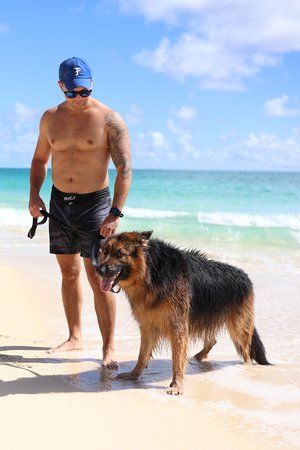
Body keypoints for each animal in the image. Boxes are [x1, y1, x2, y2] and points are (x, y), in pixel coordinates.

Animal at [93, 232, 270, 394]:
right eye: (105, 252)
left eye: (120, 254)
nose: (98, 270)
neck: (152, 272)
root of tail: (246, 277)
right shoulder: (148, 325)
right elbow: (142, 355)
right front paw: (134, 374)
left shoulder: (177, 327)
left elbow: (177, 360)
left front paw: (177, 385)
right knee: (212, 340)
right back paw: (199, 357)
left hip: (238, 327)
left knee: (246, 352)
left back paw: (246, 367)